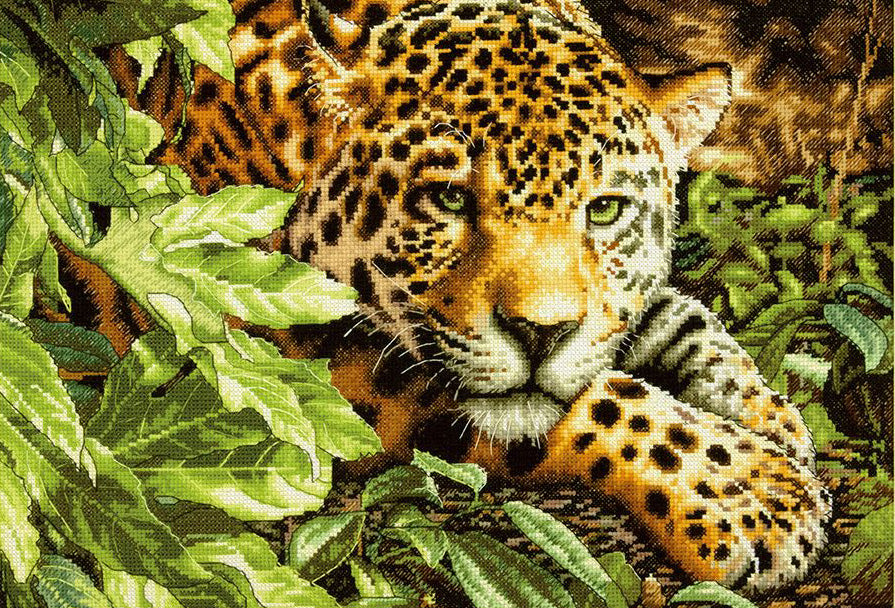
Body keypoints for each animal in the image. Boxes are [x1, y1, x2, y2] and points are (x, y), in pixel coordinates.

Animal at [102, 0, 832, 592]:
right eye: (449, 199)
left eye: (604, 210)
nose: (540, 334)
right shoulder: (273, 346)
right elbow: (605, 400)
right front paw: (754, 493)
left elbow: (679, 319)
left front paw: (774, 423)